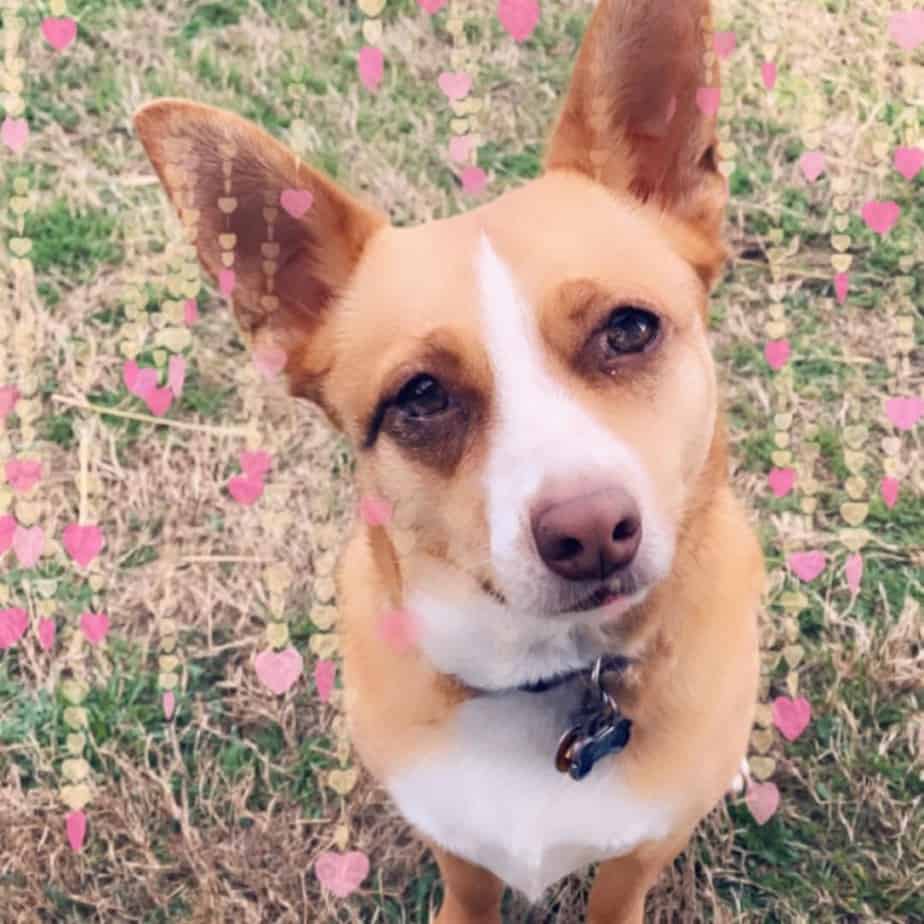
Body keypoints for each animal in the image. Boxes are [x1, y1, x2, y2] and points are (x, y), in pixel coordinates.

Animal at [132, 1, 764, 916]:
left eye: (629, 328)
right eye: (421, 394)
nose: (590, 531)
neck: (548, 678)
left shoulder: (643, 851)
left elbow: (618, 891)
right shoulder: (452, 840)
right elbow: (468, 891)